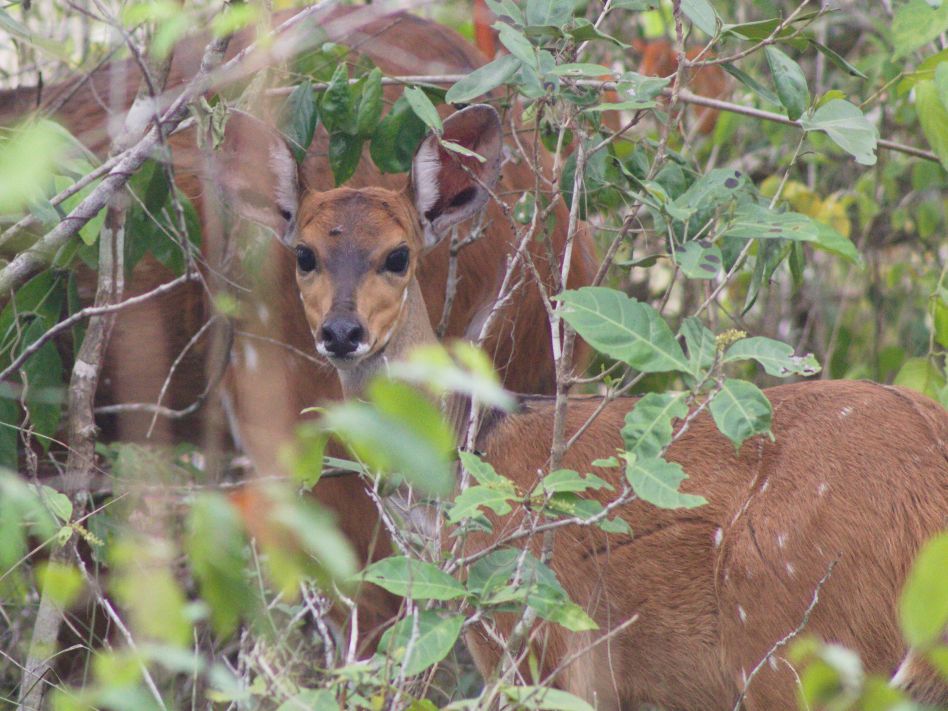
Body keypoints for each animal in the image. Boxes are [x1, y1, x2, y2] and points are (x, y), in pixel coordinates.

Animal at [278, 103, 944, 708]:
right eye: (304, 253)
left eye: (398, 255)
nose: (342, 332)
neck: (465, 454)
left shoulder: (540, 638)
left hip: (792, 644)